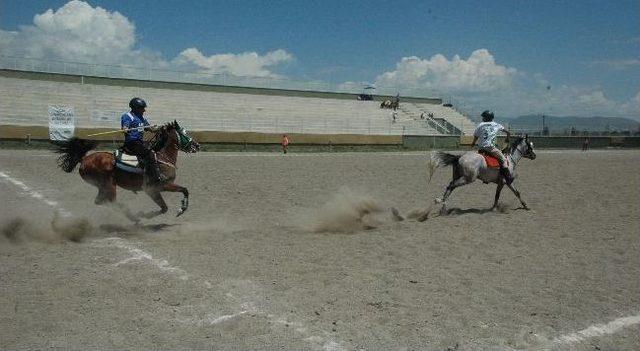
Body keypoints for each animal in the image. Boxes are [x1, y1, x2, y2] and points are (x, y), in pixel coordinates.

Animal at [55, 121, 200, 220]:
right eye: (184, 133)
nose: (197, 145)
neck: (161, 157)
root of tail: (84, 159)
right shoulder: (158, 186)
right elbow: (183, 191)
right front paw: (181, 209)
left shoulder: (154, 190)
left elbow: (166, 207)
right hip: (109, 185)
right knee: (111, 202)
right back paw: (132, 216)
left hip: (102, 186)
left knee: (99, 201)